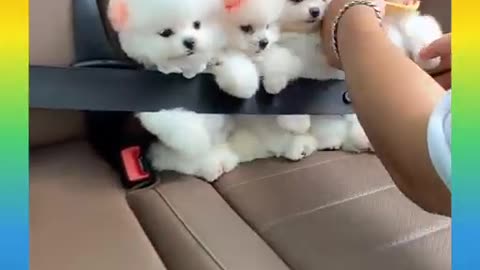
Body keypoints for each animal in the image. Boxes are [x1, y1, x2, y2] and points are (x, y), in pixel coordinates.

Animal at [107, 0, 238, 182]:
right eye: (166, 33)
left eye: (197, 24)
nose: (190, 41)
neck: (185, 70)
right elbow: (171, 120)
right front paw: (195, 137)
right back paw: (210, 165)